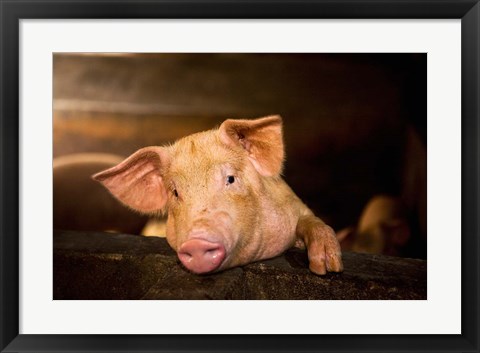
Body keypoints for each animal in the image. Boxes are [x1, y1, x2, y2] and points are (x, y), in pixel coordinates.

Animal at [93, 115, 342, 276]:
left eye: (230, 179)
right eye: (175, 192)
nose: (197, 243)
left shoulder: (294, 203)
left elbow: (312, 221)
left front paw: (328, 268)